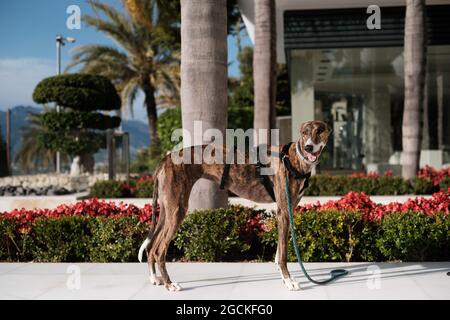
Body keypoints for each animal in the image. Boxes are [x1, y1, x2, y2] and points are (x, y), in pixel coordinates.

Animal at [137, 121, 330, 292]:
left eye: (320, 131)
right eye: (304, 133)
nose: (309, 147)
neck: (294, 158)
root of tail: (166, 158)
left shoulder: (287, 211)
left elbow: (278, 252)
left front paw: (284, 278)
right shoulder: (283, 211)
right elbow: (283, 254)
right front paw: (289, 281)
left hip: (167, 211)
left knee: (151, 246)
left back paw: (155, 278)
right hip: (177, 211)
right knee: (159, 250)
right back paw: (169, 284)